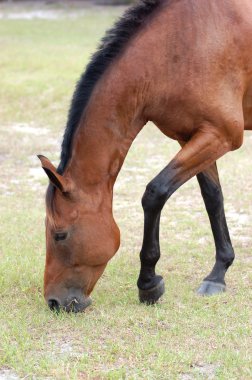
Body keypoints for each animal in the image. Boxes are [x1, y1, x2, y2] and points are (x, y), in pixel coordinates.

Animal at [38, 0, 252, 312]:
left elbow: (155, 192)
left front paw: (148, 284)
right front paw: (218, 274)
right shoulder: (195, 136)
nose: (54, 302)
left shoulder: (221, 135)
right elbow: (212, 199)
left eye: (60, 234)